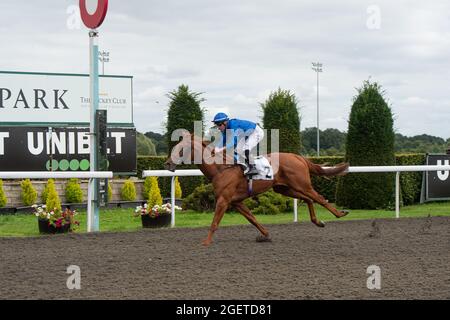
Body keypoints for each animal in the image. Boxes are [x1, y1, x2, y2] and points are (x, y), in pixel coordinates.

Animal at [163, 134, 350, 246]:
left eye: (180, 149)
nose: (167, 164)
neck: (221, 168)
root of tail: (298, 157)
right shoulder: (236, 202)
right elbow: (252, 219)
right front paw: (265, 235)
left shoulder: (224, 200)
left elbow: (215, 222)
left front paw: (206, 242)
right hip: (284, 189)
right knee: (310, 199)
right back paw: (318, 221)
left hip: (302, 184)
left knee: (318, 198)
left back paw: (339, 213)